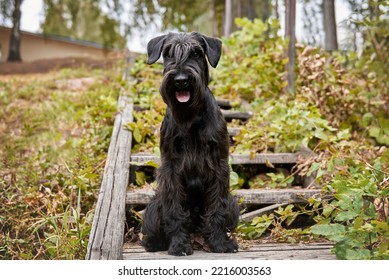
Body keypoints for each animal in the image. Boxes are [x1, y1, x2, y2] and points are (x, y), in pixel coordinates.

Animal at [141, 32, 238, 256]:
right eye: (168, 53)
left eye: (196, 53)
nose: (181, 81)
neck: (190, 118)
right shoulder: (171, 170)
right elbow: (175, 211)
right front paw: (178, 245)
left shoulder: (219, 167)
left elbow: (216, 209)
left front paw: (220, 243)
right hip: (154, 207)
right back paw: (155, 243)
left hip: (233, 205)